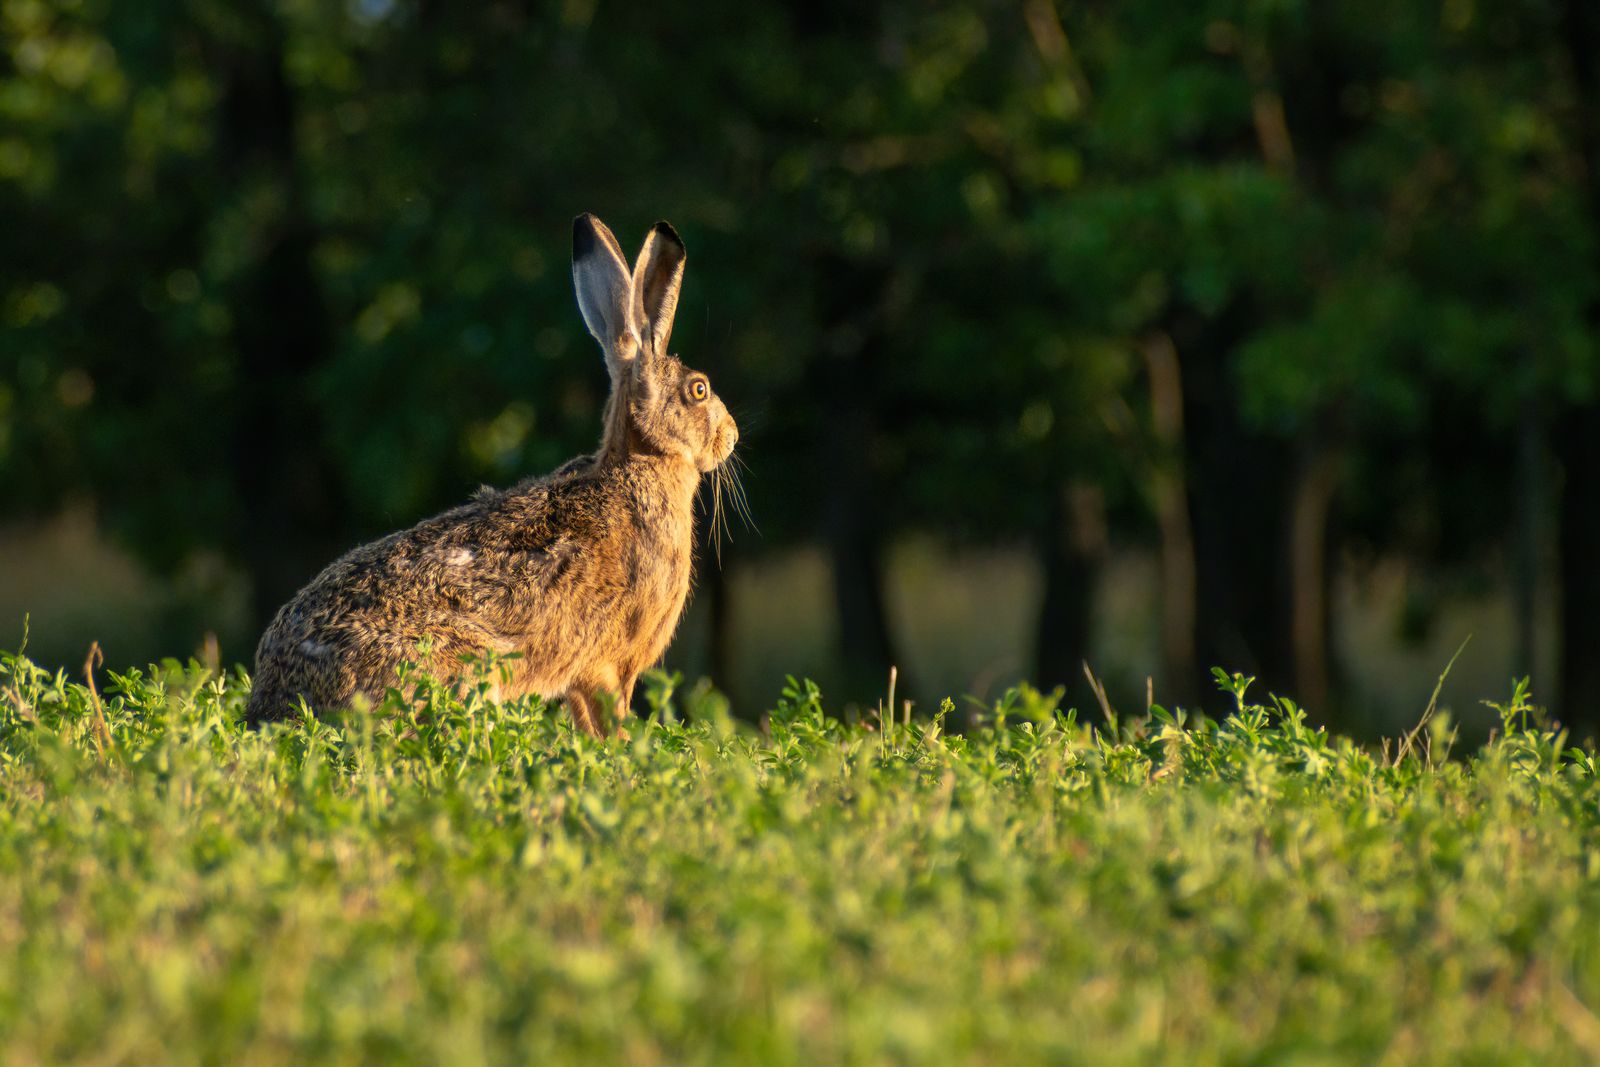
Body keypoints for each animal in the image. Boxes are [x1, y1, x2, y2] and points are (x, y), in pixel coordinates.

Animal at [244, 214, 739, 735]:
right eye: (699, 390)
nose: (732, 434)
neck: (639, 463)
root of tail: (274, 705)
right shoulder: (608, 663)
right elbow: (612, 721)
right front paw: (625, 750)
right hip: (467, 667)